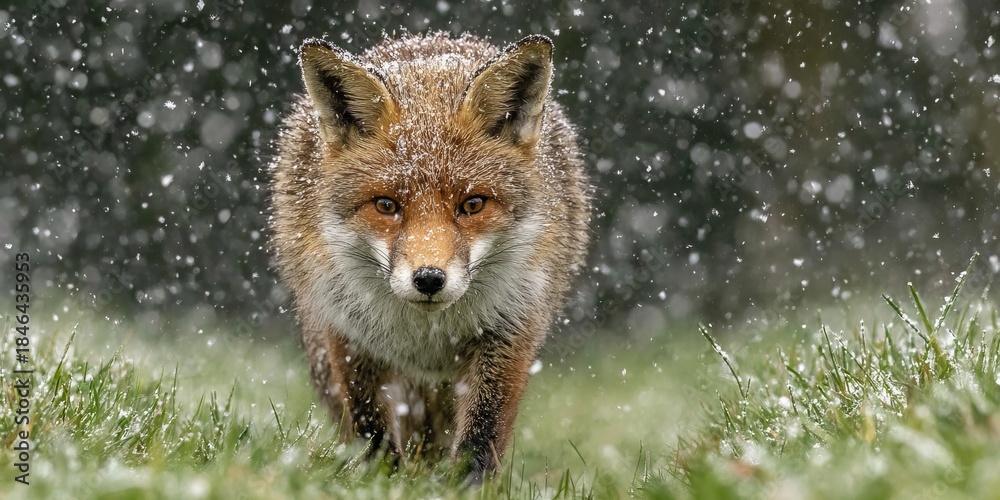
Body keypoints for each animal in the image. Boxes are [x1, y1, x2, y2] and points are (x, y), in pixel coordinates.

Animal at [269, 32, 591, 483]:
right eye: (386, 205)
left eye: (472, 204)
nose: (429, 279)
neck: (427, 332)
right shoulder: (348, 332)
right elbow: (369, 423)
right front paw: (378, 480)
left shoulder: (513, 325)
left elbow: (484, 426)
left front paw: (468, 484)